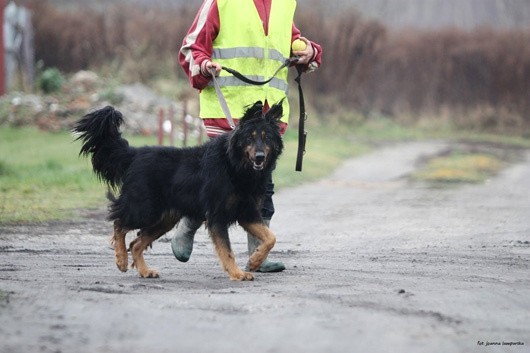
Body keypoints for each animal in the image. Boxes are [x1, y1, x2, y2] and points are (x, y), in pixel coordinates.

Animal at [73, 100, 284, 280]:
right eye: (250, 137)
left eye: (267, 138)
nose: (259, 157)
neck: (235, 165)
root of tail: (134, 154)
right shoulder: (217, 216)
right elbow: (227, 250)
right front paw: (237, 273)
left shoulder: (248, 212)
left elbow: (270, 237)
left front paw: (255, 260)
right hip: (145, 210)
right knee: (119, 223)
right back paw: (121, 260)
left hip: (164, 219)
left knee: (135, 243)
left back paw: (144, 271)